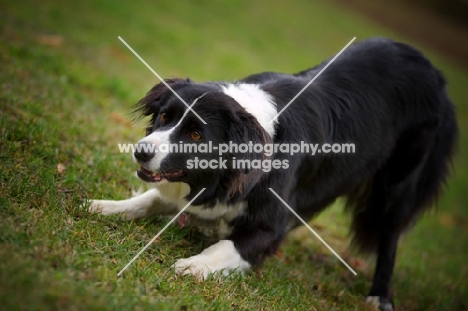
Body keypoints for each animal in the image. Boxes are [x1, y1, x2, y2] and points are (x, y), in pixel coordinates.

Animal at [88, 37, 458, 310]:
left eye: (195, 135)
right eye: (165, 117)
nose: (141, 151)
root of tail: (437, 74)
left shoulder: (271, 226)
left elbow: (229, 246)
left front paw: (195, 265)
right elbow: (150, 198)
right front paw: (108, 206)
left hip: (399, 181)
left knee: (391, 235)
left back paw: (379, 296)